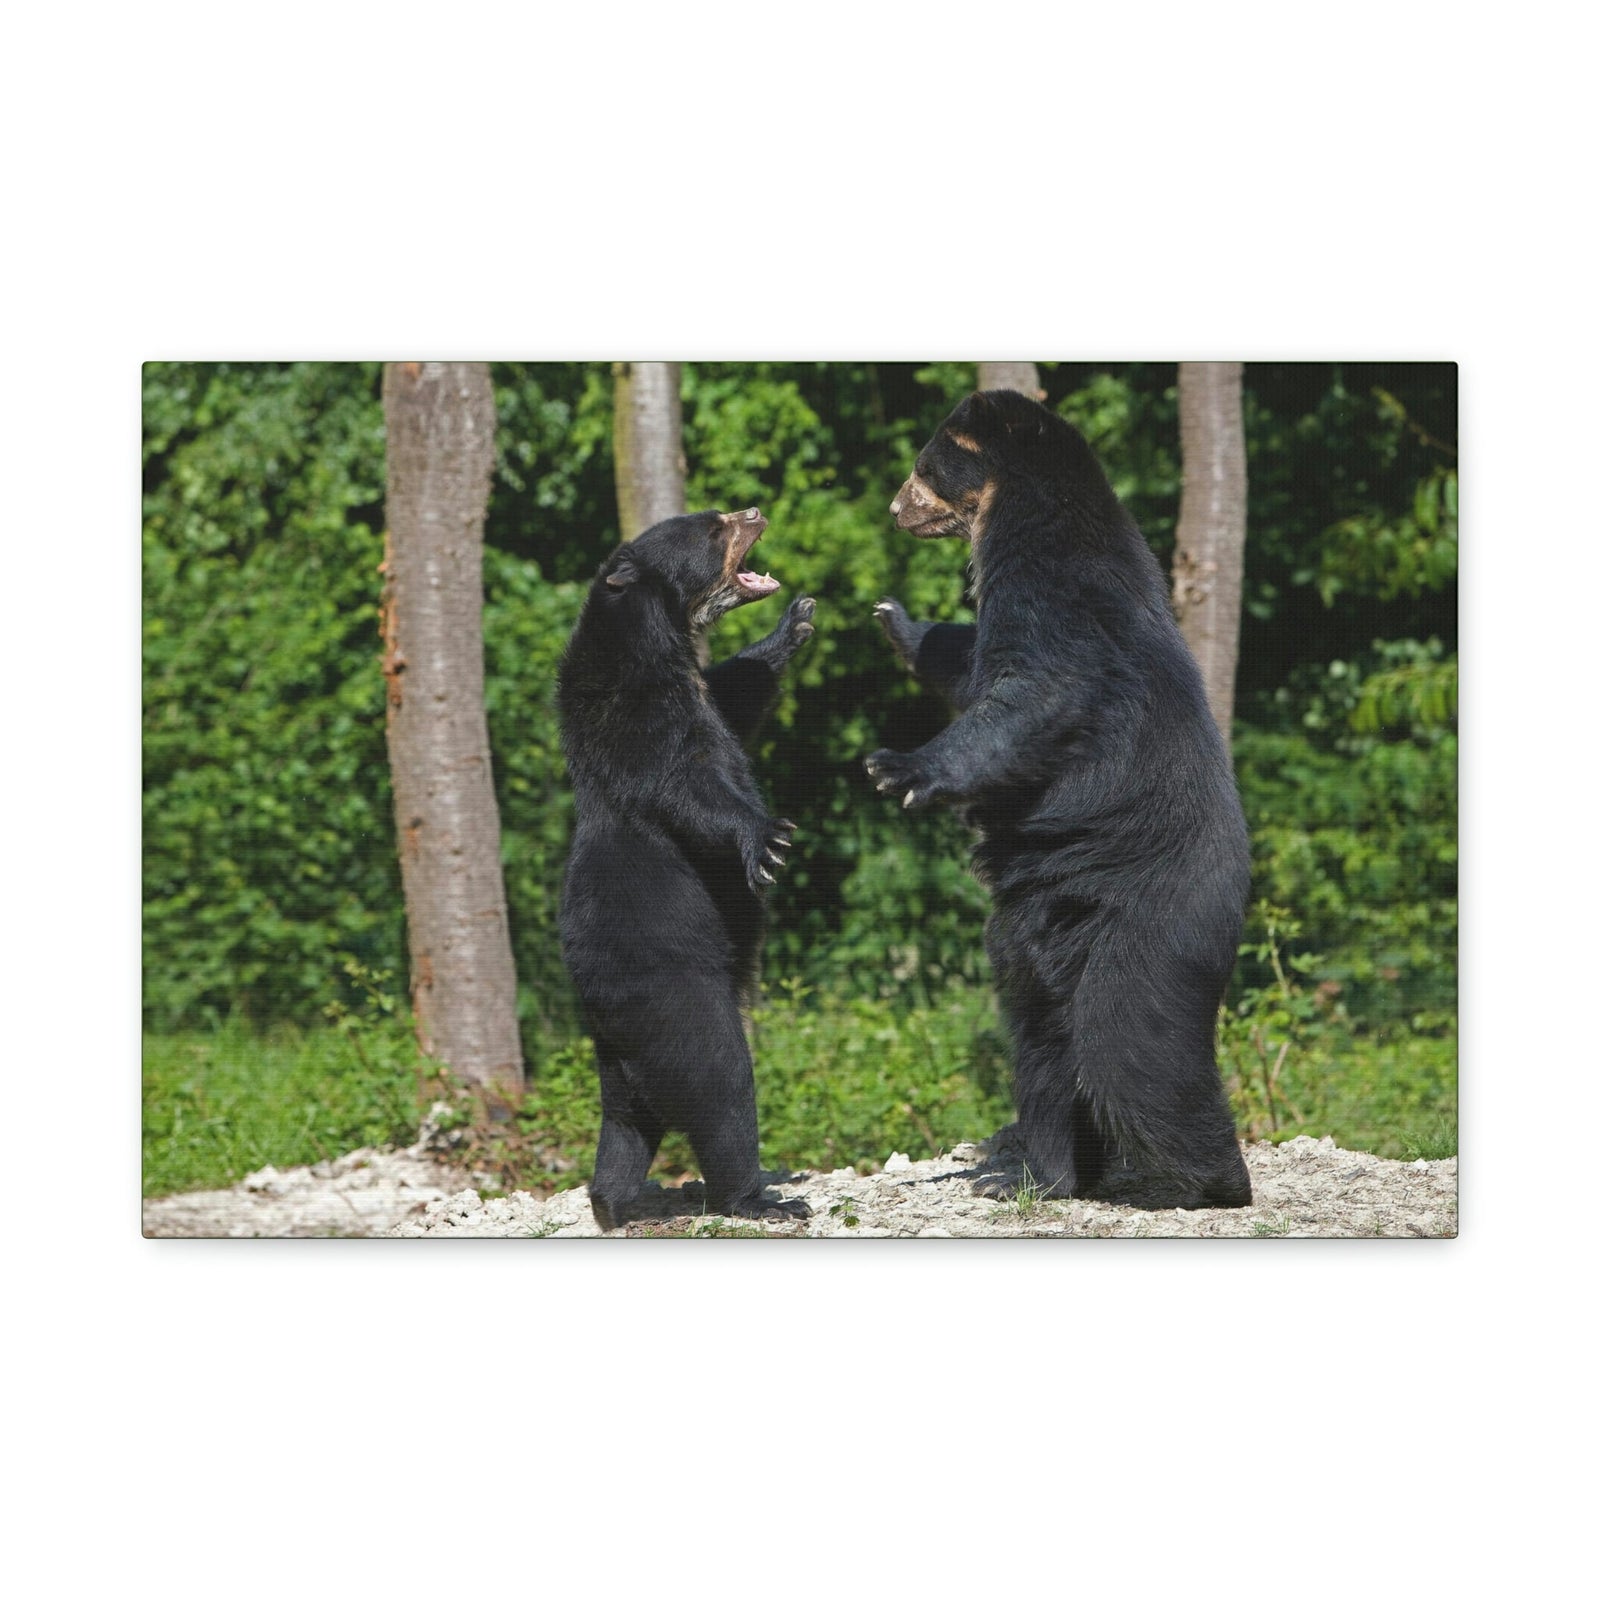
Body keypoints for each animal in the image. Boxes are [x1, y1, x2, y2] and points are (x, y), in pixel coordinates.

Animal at [557, 506, 816, 1231]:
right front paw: (769, 839)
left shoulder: (702, 693)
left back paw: (612, 1202)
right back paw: (759, 1197)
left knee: (624, 1127)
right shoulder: (633, 715)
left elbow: (739, 692)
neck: (657, 644)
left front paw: (793, 625)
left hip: (619, 1064)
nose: (753, 510)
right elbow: (687, 785)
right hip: (677, 1000)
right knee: (722, 1087)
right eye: (711, 527)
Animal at [866, 389, 1253, 1209]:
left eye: (924, 465)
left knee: (1128, 1044)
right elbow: (968, 665)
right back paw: (1043, 1173)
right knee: (1043, 1045)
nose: (894, 508)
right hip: (1036, 934)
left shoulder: (1061, 598)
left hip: (1147, 925)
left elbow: (1034, 693)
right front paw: (896, 619)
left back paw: (1208, 1178)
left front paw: (896, 766)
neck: (1018, 513)